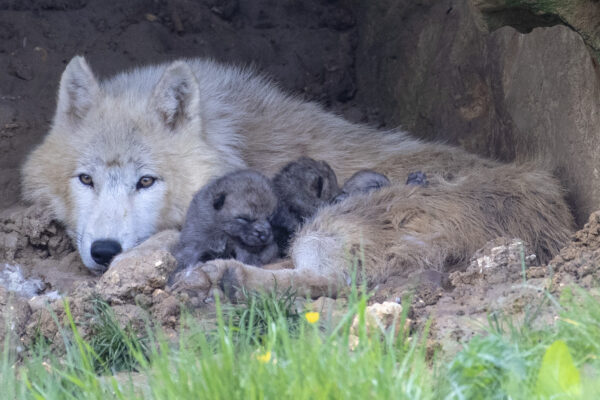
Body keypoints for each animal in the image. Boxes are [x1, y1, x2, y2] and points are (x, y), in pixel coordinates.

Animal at [21, 54, 576, 296]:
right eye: (85, 180)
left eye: (146, 182)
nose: (103, 251)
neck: (229, 134)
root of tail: (559, 219)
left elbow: (162, 243)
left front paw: (134, 266)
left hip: (326, 228)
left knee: (333, 285)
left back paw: (221, 277)